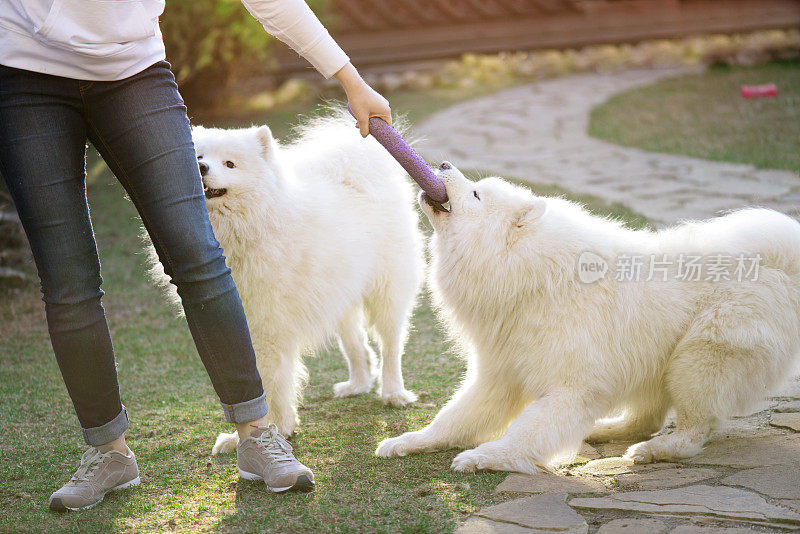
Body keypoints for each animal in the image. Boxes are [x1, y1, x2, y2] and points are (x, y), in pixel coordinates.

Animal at [148, 114, 424, 456]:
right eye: (197, 156)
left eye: (229, 163)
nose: (200, 167)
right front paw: (242, 437)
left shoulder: (270, 328)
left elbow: (274, 383)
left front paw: (277, 428)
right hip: (339, 294)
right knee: (356, 344)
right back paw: (357, 384)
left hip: (386, 292)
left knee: (390, 345)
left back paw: (393, 393)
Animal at [376, 164, 800, 478]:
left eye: (477, 194)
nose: (444, 164)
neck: (529, 274)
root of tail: (780, 264)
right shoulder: (499, 375)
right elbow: (452, 420)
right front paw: (408, 441)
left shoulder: (571, 387)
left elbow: (527, 430)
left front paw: (485, 457)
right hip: (657, 362)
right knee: (647, 416)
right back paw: (607, 429)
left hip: (697, 360)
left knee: (695, 429)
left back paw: (654, 450)